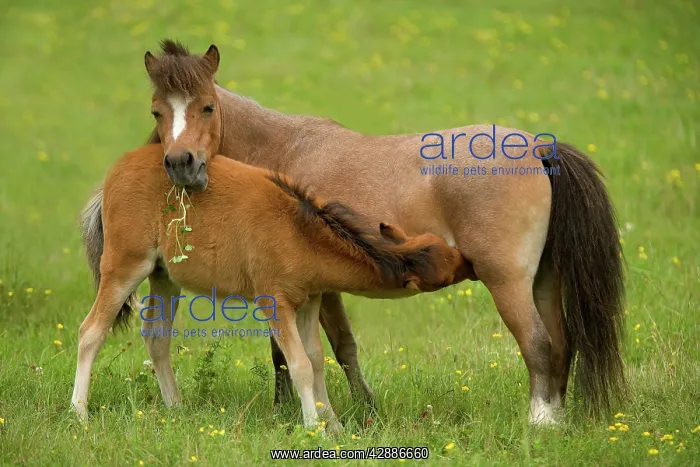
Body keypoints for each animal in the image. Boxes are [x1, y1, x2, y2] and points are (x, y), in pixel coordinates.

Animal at [72, 143, 471, 433]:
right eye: (449, 267)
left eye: (447, 250)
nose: (471, 262)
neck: (299, 231)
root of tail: (113, 175)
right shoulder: (276, 303)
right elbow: (299, 364)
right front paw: (313, 428)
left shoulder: (309, 301)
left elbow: (315, 359)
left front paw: (335, 426)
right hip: (125, 266)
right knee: (91, 331)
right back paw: (79, 414)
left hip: (164, 275)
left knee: (156, 335)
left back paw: (176, 408)